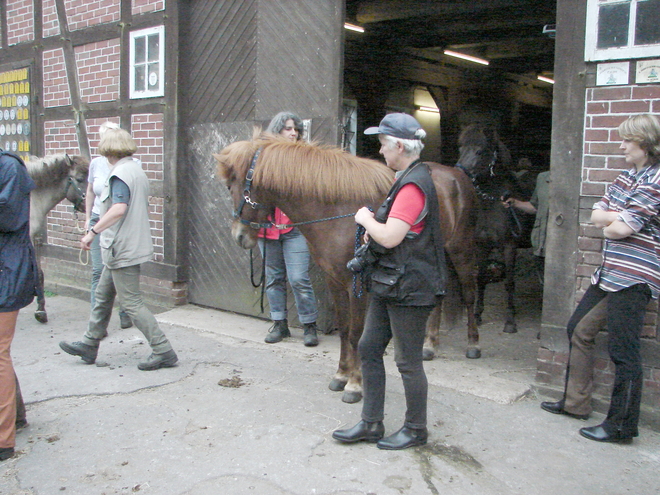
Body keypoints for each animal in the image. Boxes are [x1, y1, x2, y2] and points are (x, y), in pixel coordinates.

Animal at [217, 132, 480, 404]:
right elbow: (344, 329)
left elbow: (356, 333)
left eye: (232, 186)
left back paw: (473, 345)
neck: (338, 210)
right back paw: (430, 344)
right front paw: (341, 375)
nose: (239, 236)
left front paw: (354, 384)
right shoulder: (334, 281)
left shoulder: (358, 286)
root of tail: (458, 176)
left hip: (461, 251)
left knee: (470, 294)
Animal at [456, 124, 532, 334]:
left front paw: (510, 321)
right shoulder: (481, 246)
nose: (459, 173)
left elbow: (509, 283)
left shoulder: (509, 246)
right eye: (460, 149)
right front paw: (477, 315)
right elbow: (481, 279)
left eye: (480, 151)